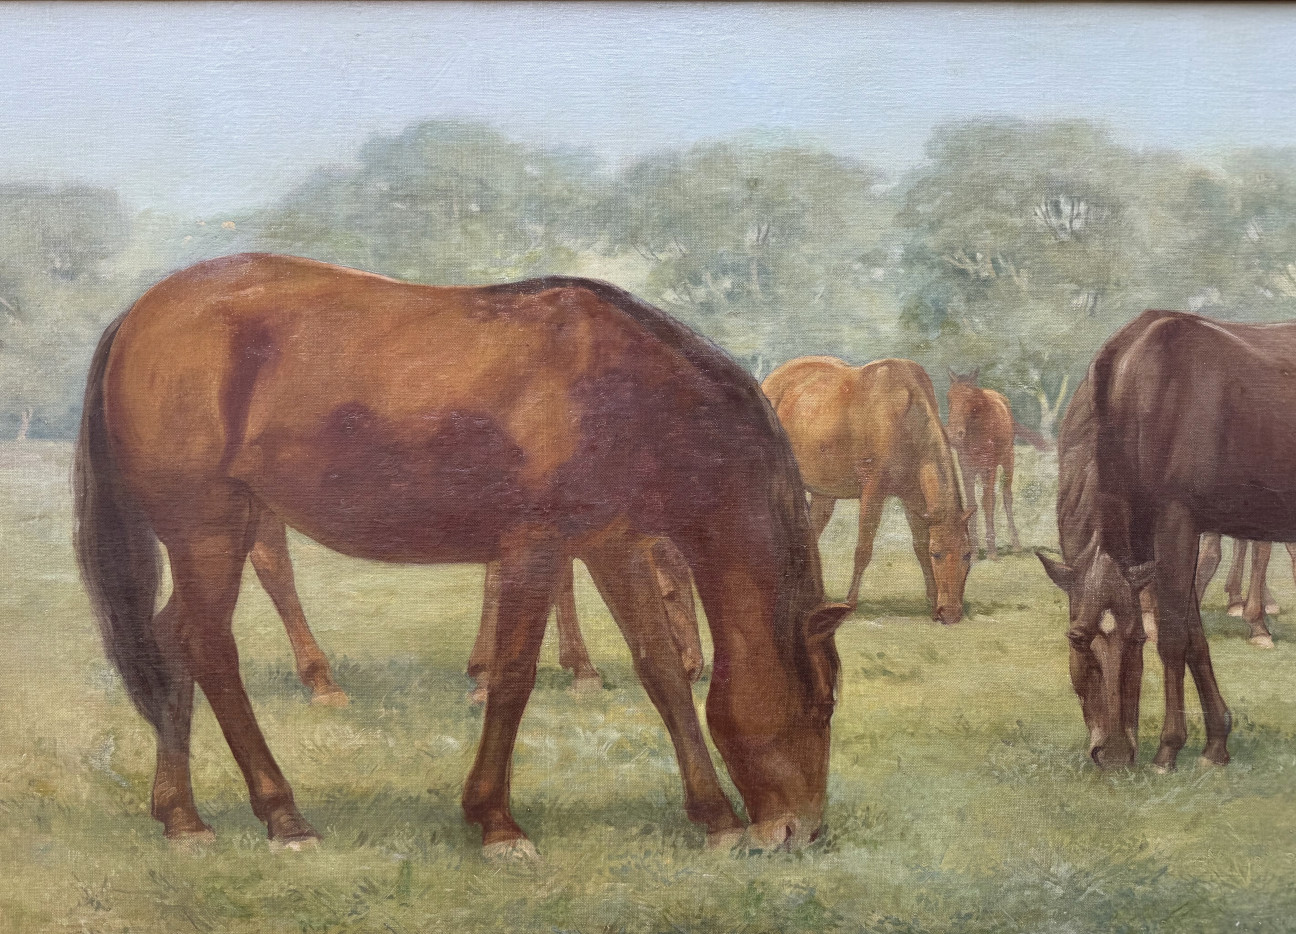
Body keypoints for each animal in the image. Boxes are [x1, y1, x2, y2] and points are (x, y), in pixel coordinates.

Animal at [245, 510, 704, 707]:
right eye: (668, 593)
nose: (694, 667)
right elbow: (508, 576)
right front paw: (487, 673)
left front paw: (580, 669)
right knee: (274, 564)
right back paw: (322, 683)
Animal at [762, 356, 972, 624]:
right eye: (938, 554)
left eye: (968, 554)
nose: (951, 613)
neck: (907, 416)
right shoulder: (873, 490)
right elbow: (863, 549)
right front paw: (850, 602)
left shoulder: (913, 497)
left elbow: (919, 545)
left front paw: (933, 602)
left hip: (823, 493)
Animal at [946, 369, 1051, 559]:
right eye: (948, 398)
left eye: (970, 400)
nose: (952, 435)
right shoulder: (967, 469)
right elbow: (972, 504)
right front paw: (973, 552)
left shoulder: (990, 466)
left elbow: (988, 501)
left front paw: (992, 552)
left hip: (1007, 461)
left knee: (1005, 496)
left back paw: (1016, 545)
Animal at [1039, 308, 1296, 772]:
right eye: (1077, 639)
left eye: (1138, 640)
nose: (1115, 754)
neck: (1136, 387)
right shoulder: (1151, 548)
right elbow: (1193, 637)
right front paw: (1216, 743)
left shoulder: (1177, 524)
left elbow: (1175, 638)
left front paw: (1168, 748)